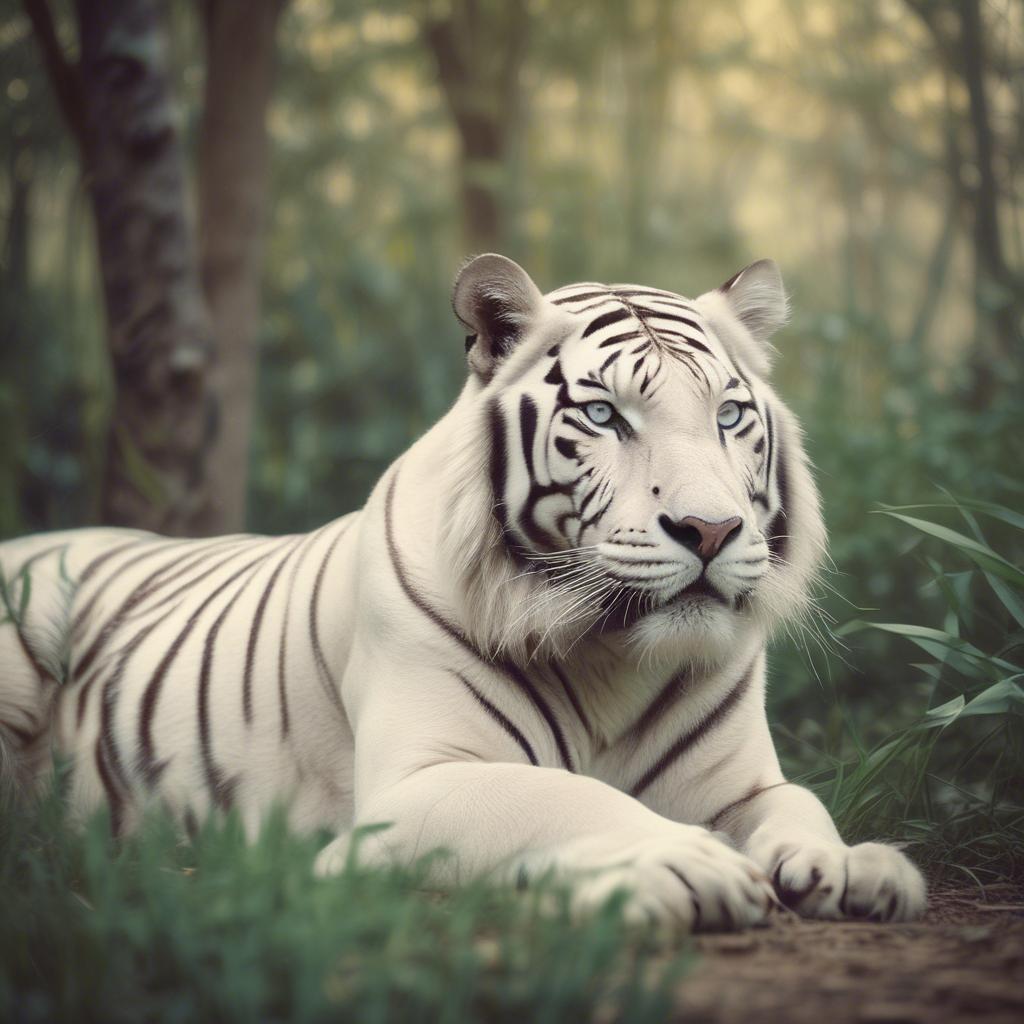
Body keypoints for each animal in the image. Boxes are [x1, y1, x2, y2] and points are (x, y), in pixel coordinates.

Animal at [0, 254, 925, 929]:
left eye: (729, 417)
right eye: (604, 416)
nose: (710, 530)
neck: (613, 656)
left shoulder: (743, 786)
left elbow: (798, 801)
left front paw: (853, 864)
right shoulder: (416, 788)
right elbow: (568, 796)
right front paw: (684, 861)